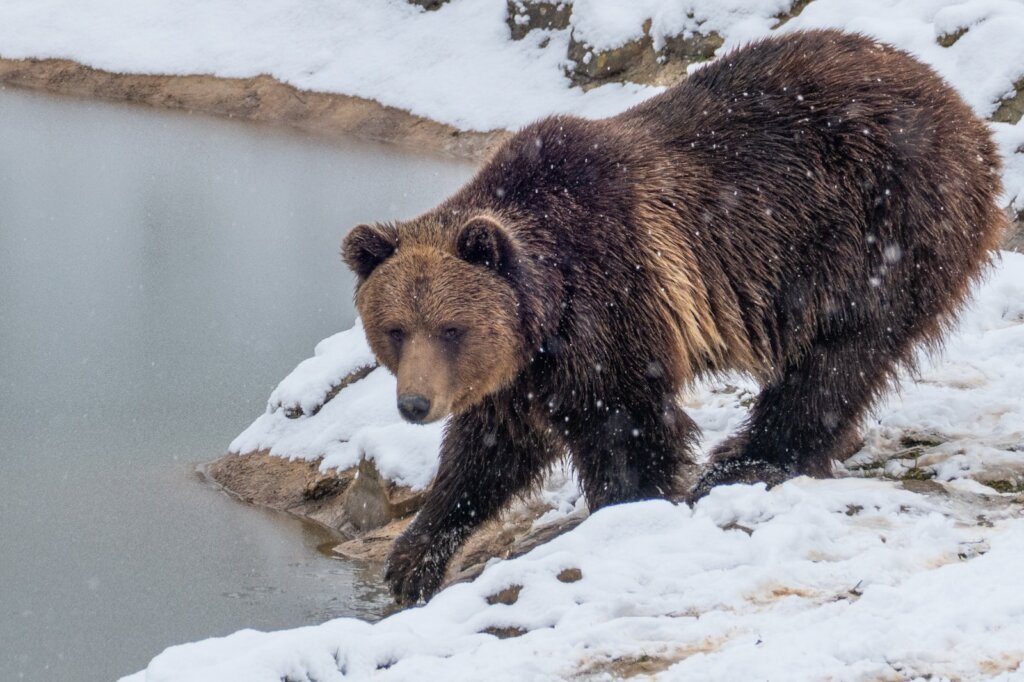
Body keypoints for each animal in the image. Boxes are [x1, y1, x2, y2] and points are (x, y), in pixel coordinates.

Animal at [342, 29, 1006, 603]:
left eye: (451, 328)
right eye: (395, 329)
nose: (415, 404)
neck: (548, 306)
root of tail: (966, 114)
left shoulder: (614, 294)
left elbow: (628, 424)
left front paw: (624, 509)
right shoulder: (520, 367)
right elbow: (488, 451)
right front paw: (414, 558)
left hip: (880, 223)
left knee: (839, 351)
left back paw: (750, 458)